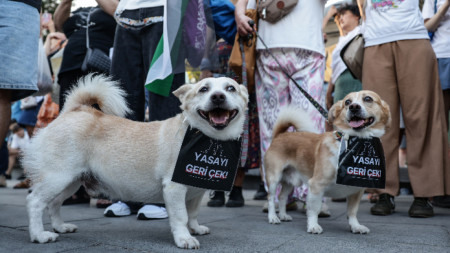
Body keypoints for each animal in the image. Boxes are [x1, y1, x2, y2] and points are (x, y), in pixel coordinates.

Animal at [264, 90, 390, 234]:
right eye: (347, 102)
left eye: (368, 99)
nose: (353, 107)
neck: (354, 142)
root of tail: (279, 135)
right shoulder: (316, 186)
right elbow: (314, 209)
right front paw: (313, 225)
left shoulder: (356, 191)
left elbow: (352, 212)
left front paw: (356, 226)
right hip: (274, 178)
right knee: (271, 198)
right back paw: (273, 217)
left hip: (290, 182)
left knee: (282, 197)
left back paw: (283, 215)